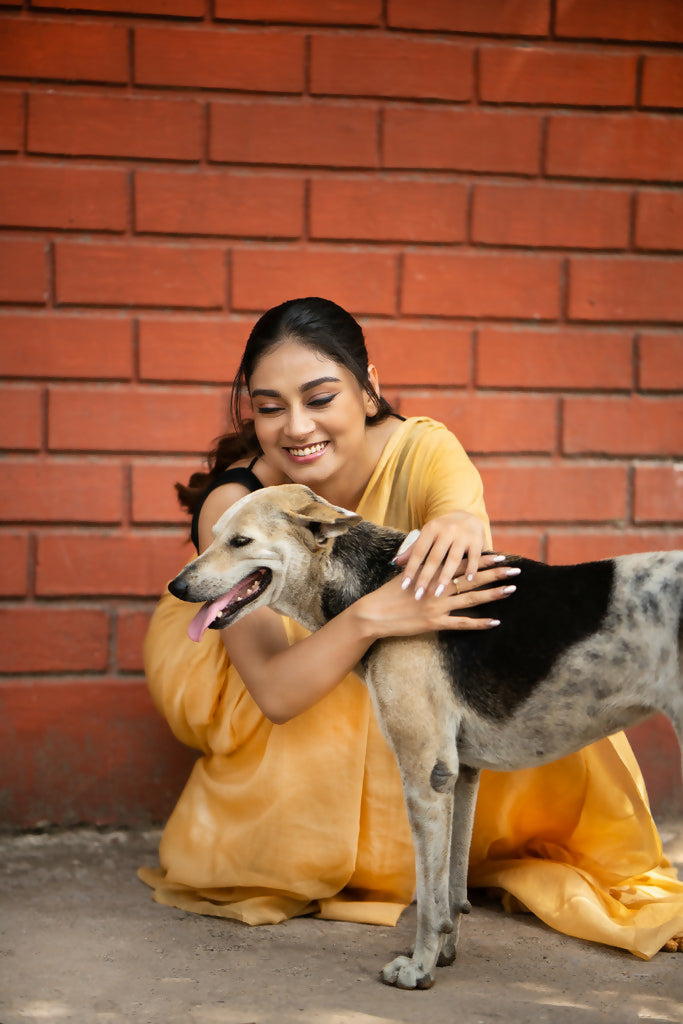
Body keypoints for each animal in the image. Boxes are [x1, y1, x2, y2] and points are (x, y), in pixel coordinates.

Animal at [169, 487, 683, 991]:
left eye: (240, 541)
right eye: (211, 535)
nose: (176, 588)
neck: (380, 581)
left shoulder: (425, 774)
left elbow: (429, 899)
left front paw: (419, 968)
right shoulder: (462, 774)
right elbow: (452, 887)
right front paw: (446, 953)